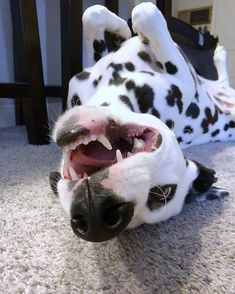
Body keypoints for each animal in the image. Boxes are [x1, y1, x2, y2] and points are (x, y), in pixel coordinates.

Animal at [50, 2, 234, 241]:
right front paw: (120, 30)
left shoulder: (184, 78)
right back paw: (219, 55)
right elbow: (93, 14)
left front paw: (127, 28)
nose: (97, 219)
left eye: (163, 193)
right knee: (222, 81)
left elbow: (144, 12)